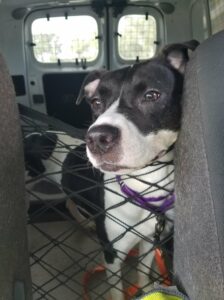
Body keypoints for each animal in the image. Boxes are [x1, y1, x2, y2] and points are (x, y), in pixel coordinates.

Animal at [74, 40, 199, 300]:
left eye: (151, 95)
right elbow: (116, 289)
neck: (143, 186)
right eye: (97, 102)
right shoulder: (112, 255)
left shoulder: (150, 241)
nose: (97, 138)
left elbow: (142, 272)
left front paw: (145, 289)